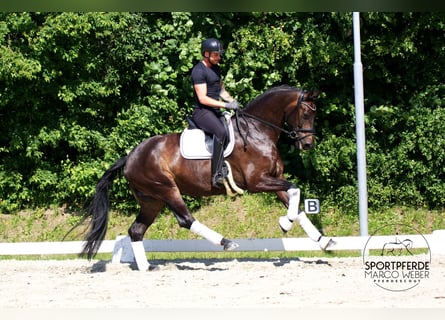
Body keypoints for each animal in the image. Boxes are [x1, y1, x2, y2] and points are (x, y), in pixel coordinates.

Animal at [79, 85, 332, 262]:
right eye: (306, 113)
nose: (308, 145)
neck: (257, 130)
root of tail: (130, 156)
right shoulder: (258, 182)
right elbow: (295, 189)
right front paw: (285, 224)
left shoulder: (273, 179)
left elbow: (296, 203)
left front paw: (323, 240)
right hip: (166, 189)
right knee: (185, 219)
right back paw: (226, 242)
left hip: (151, 200)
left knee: (136, 230)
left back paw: (146, 268)